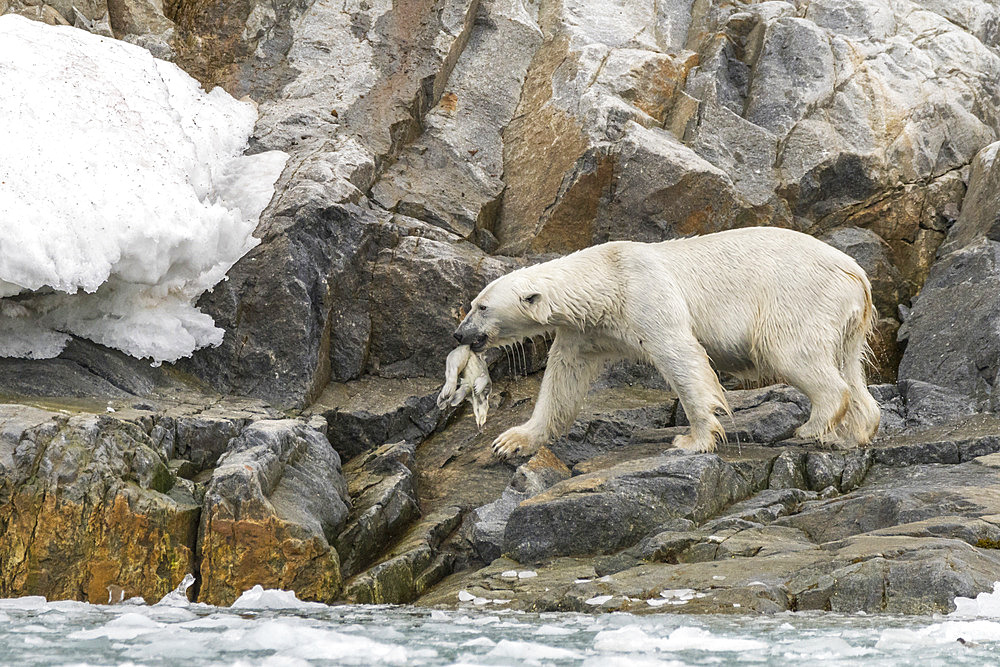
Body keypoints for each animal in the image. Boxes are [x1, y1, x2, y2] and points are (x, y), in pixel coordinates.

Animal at [454, 228, 884, 460]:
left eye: (481, 306)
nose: (458, 334)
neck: (605, 279)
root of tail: (858, 273)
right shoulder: (589, 329)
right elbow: (564, 377)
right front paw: (512, 440)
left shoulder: (645, 293)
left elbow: (680, 354)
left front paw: (692, 440)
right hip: (846, 318)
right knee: (850, 366)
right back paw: (858, 430)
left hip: (799, 296)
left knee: (791, 353)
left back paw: (812, 427)